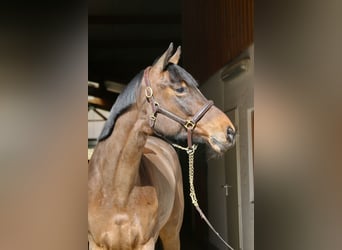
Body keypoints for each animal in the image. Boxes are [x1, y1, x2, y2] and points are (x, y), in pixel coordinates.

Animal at [87, 44, 235, 249]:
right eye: (180, 88)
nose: (229, 131)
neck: (115, 192)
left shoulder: (146, 242)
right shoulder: (96, 243)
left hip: (171, 233)